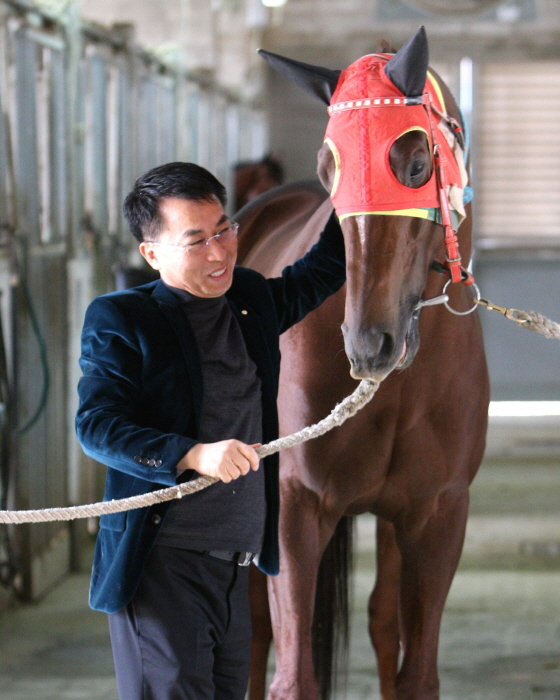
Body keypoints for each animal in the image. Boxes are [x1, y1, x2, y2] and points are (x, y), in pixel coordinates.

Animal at [236, 27, 490, 700]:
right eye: (331, 170)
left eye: (417, 163)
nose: (368, 344)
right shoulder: (296, 508)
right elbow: (293, 674)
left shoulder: (437, 516)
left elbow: (415, 669)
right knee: (253, 631)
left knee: (380, 621)